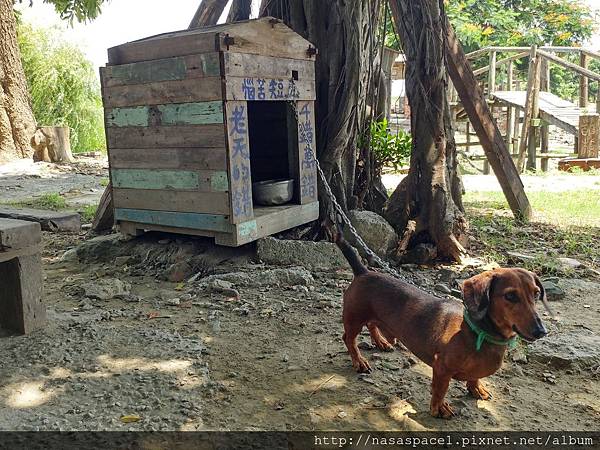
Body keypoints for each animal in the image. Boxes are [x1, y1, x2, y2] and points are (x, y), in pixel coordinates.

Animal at [330, 224, 551, 418]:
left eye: (536, 293)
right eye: (510, 296)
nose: (541, 331)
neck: (477, 332)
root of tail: (364, 272)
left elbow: (474, 377)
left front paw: (476, 388)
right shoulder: (442, 368)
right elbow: (440, 389)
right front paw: (439, 408)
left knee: (372, 324)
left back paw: (381, 342)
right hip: (354, 319)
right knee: (349, 339)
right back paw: (359, 361)